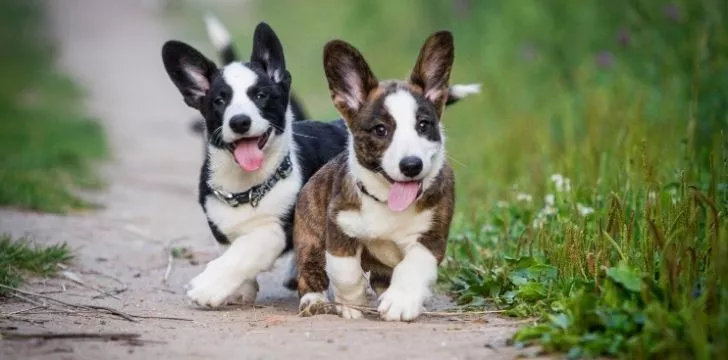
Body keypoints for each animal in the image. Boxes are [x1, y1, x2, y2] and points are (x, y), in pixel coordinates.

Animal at [294, 32, 456, 322]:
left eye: (423, 125)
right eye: (380, 130)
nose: (411, 165)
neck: (387, 202)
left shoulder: (431, 238)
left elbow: (413, 267)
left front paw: (401, 302)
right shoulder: (339, 227)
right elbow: (345, 272)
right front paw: (351, 304)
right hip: (309, 236)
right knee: (310, 269)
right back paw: (314, 301)